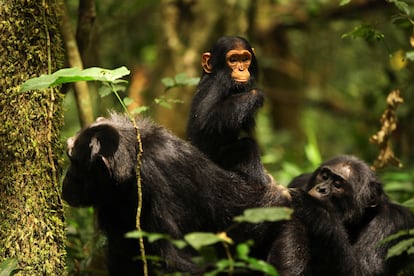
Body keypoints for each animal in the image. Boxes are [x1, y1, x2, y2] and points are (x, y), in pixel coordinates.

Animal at [186, 35, 270, 185]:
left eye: (245, 59)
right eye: (233, 60)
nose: (241, 69)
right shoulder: (218, 86)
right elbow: (208, 117)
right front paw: (257, 93)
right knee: (247, 146)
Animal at [268, 155, 414, 276]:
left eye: (337, 184)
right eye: (325, 176)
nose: (322, 189)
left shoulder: (392, 221)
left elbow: (362, 272)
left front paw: (310, 205)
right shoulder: (299, 181)